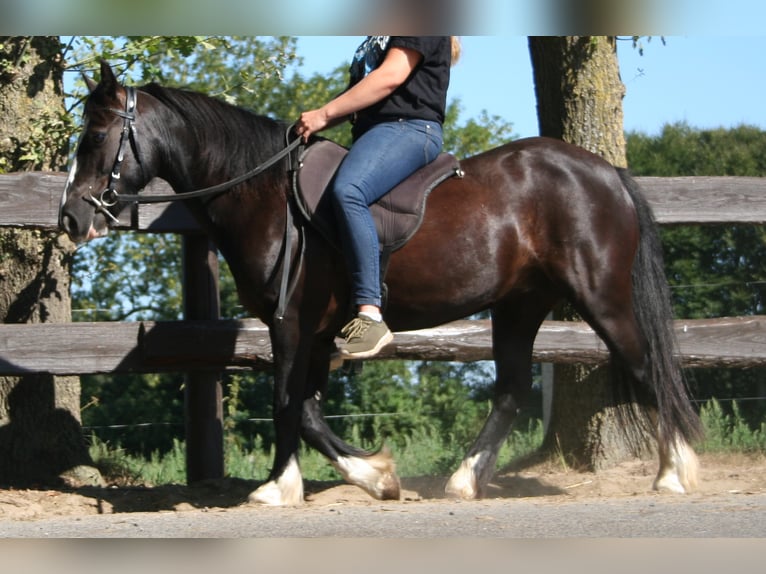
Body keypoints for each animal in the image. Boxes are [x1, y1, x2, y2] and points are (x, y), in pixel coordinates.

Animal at [58, 60, 704, 506]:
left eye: (95, 137)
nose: (70, 218)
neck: (265, 194)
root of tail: (605, 172)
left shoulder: (291, 324)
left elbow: (288, 405)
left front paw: (282, 487)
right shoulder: (316, 334)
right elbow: (309, 411)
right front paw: (375, 475)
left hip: (602, 299)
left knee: (651, 368)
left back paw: (676, 472)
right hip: (519, 305)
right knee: (513, 390)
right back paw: (464, 481)